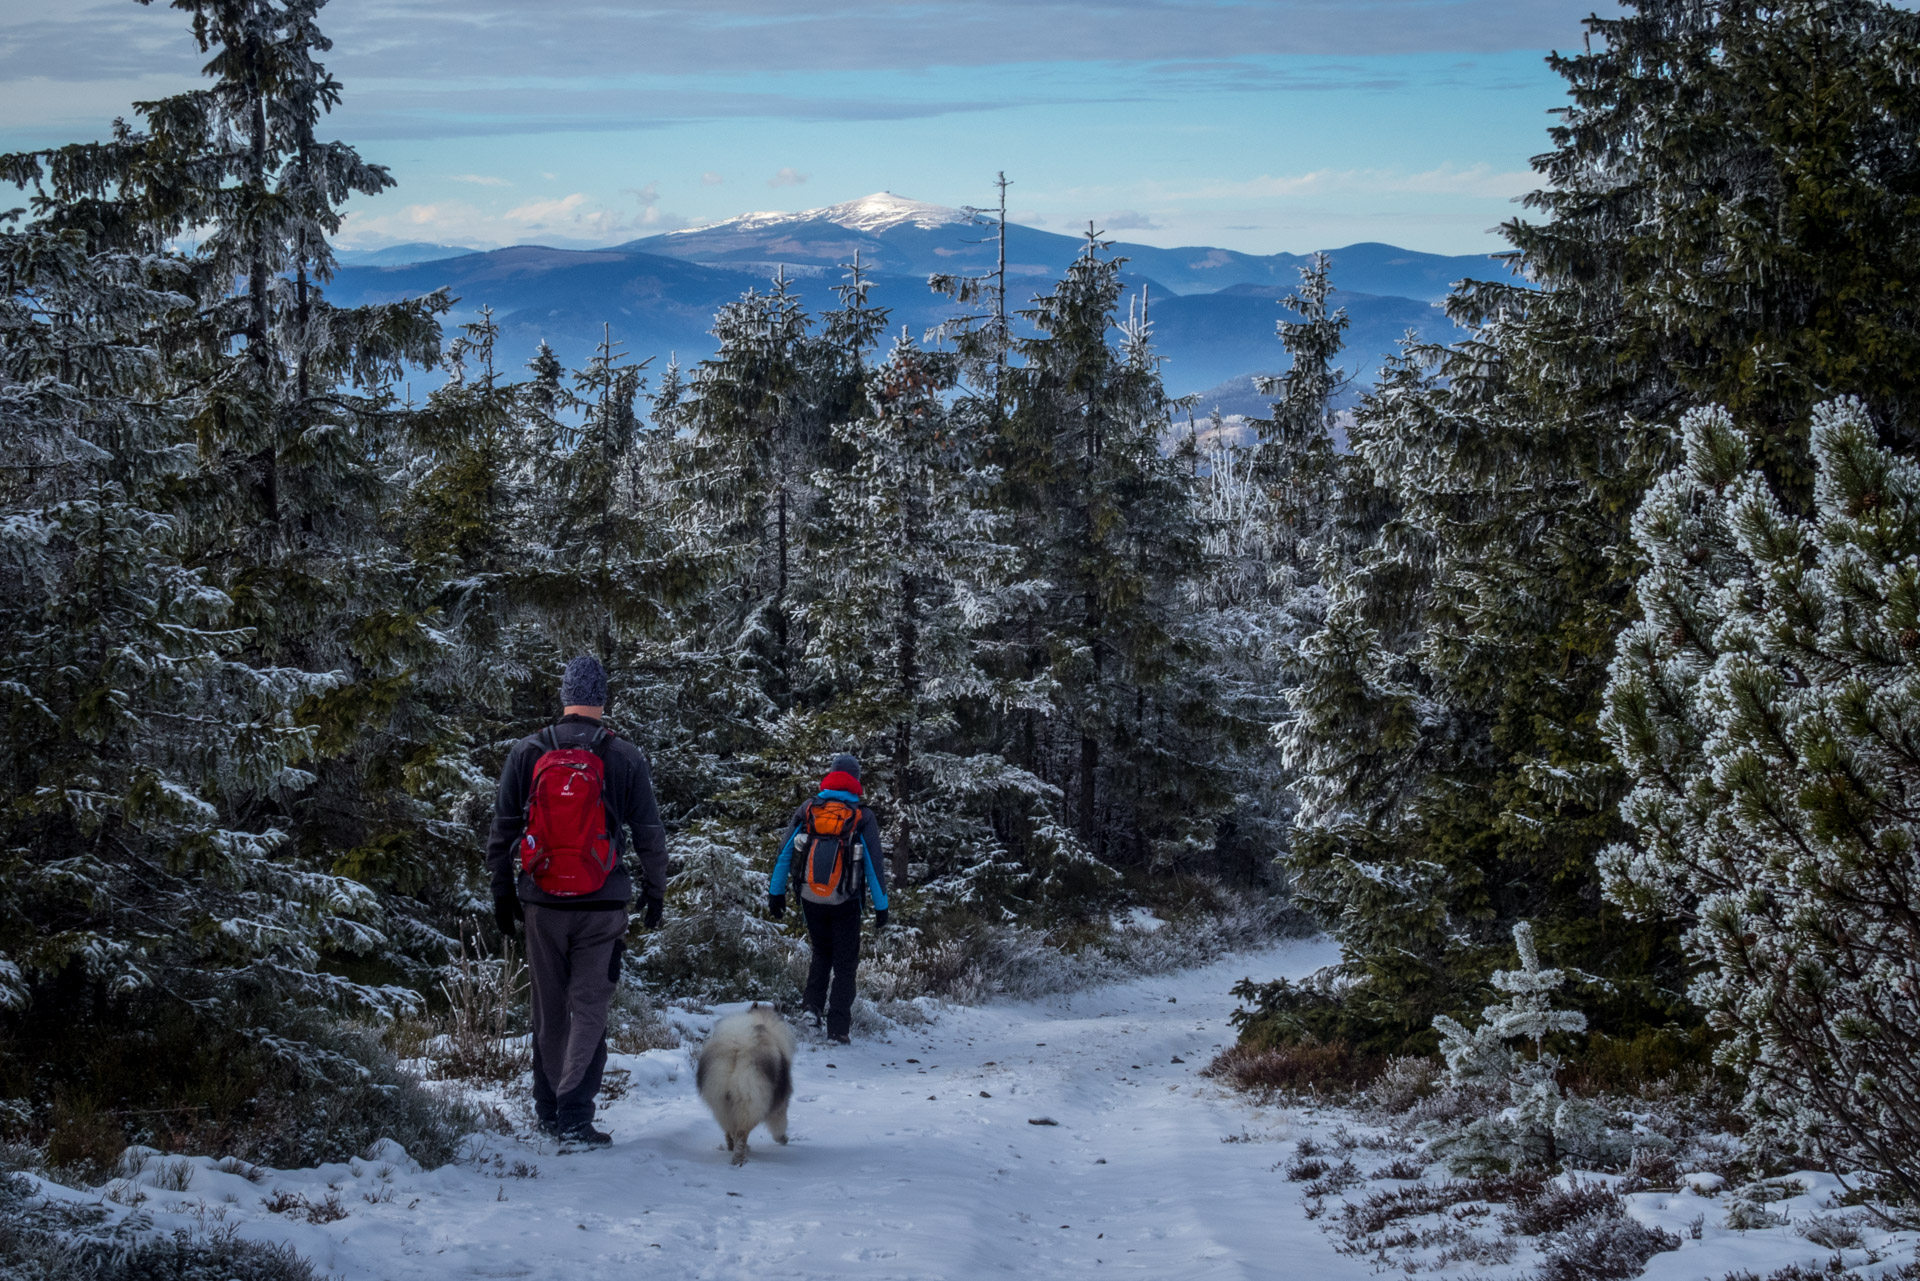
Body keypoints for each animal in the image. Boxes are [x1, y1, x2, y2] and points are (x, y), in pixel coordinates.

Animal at [698, 1006, 794, 1167]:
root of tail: (737, 1047)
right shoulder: (780, 1104)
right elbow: (780, 1124)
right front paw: (783, 1139)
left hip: (721, 1104)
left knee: (732, 1131)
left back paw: (734, 1149)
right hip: (750, 1103)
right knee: (742, 1134)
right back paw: (740, 1158)